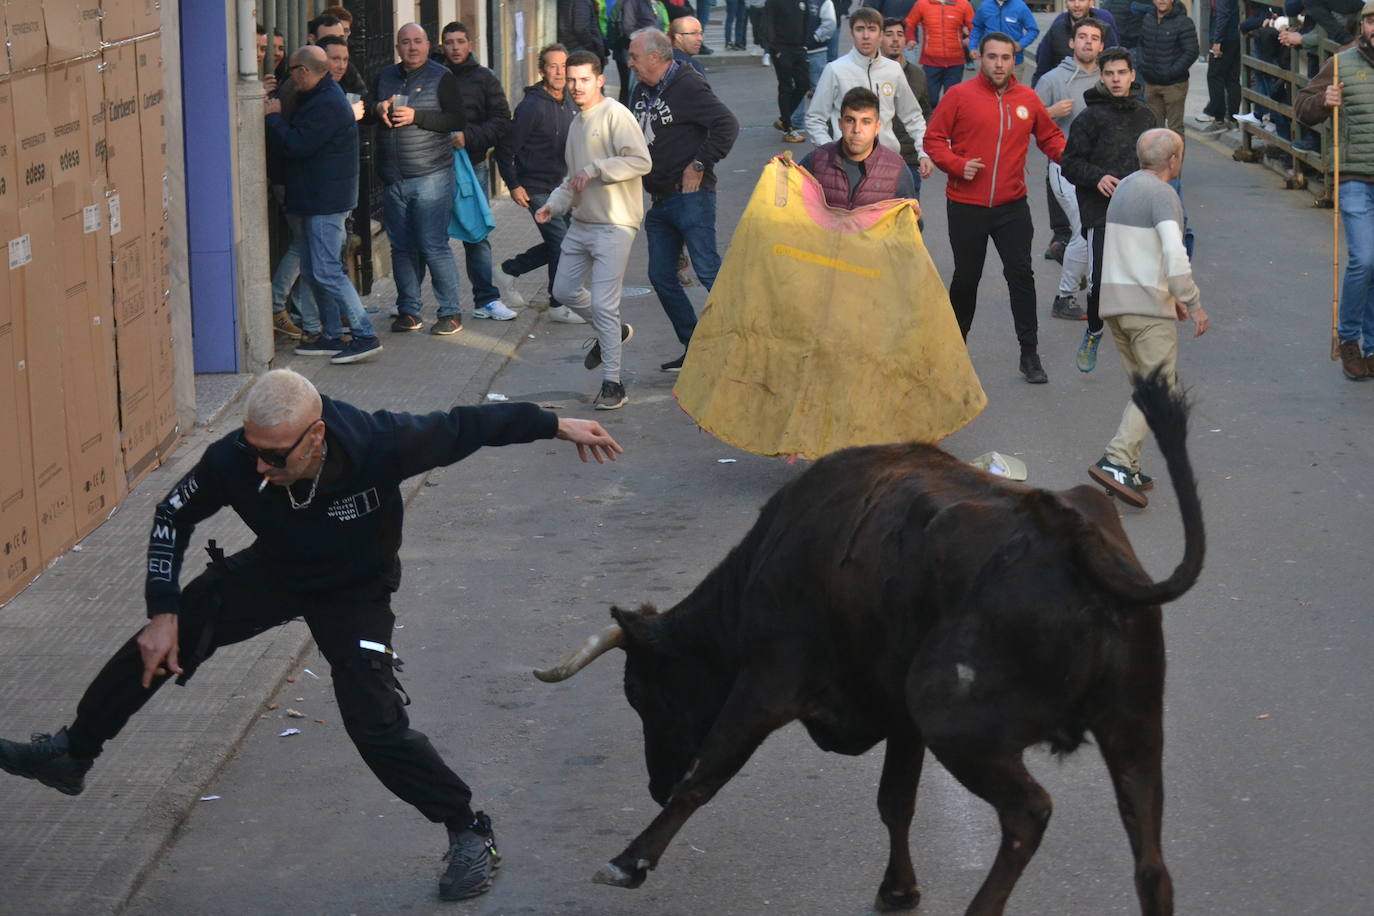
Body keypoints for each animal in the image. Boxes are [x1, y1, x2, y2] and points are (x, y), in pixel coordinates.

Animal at [535, 368, 1203, 911]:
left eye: (641, 693)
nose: (652, 785)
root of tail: (1071, 534)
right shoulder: (898, 717)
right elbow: (895, 801)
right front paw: (898, 891)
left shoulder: (769, 680)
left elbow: (707, 771)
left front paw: (629, 861)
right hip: (1135, 727)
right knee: (1151, 862)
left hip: (956, 722)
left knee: (1028, 814)